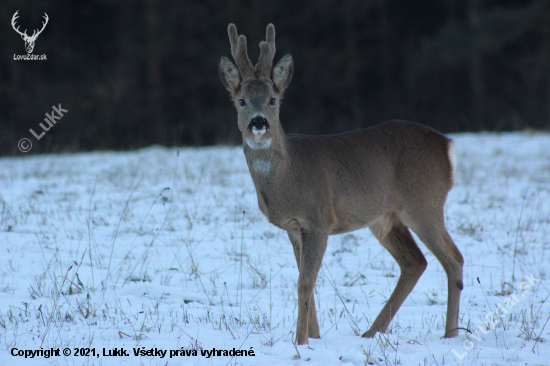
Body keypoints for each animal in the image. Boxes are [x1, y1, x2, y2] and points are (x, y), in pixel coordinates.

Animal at [220, 23, 466, 346]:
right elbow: (306, 280)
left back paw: (450, 335)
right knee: (415, 262)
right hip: (385, 218)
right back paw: (371, 332)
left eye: (273, 100)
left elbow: (304, 281)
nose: (258, 122)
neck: (287, 178)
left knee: (453, 258)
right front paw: (314, 337)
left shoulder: (319, 219)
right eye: (242, 101)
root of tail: (447, 146)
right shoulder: (294, 227)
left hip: (424, 203)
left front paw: (301, 342)